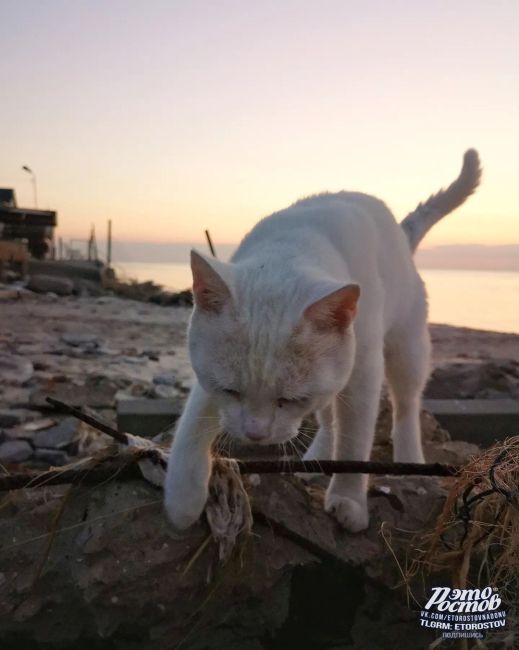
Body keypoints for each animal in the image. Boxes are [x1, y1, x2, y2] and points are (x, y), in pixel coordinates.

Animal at [165, 151, 482, 532]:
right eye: (230, 391)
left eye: (289, 400)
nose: (256, 434)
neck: (291, 250)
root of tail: (401, 235)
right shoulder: (207, 380)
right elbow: (192, 425)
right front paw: (182, 499)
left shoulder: (363, 374)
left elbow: (354, 442)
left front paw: (348, 499)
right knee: (330, 418)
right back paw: (315, 459)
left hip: (407, 350)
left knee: (405, 408)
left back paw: (408, 461)